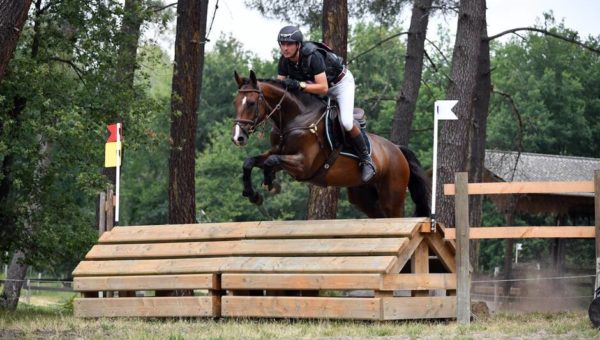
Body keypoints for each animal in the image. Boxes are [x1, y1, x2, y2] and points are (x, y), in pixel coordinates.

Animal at [231, 70, 432, 218]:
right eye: (235, 102)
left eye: (251, 103)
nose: (237, 137)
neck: (295, 118)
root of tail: (397, 149)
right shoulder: (278, 151)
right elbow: (250, 162)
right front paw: (253, 194)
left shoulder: (304, 165)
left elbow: (271, 161)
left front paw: (270, 184)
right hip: (363, 196)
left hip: (392, 196)